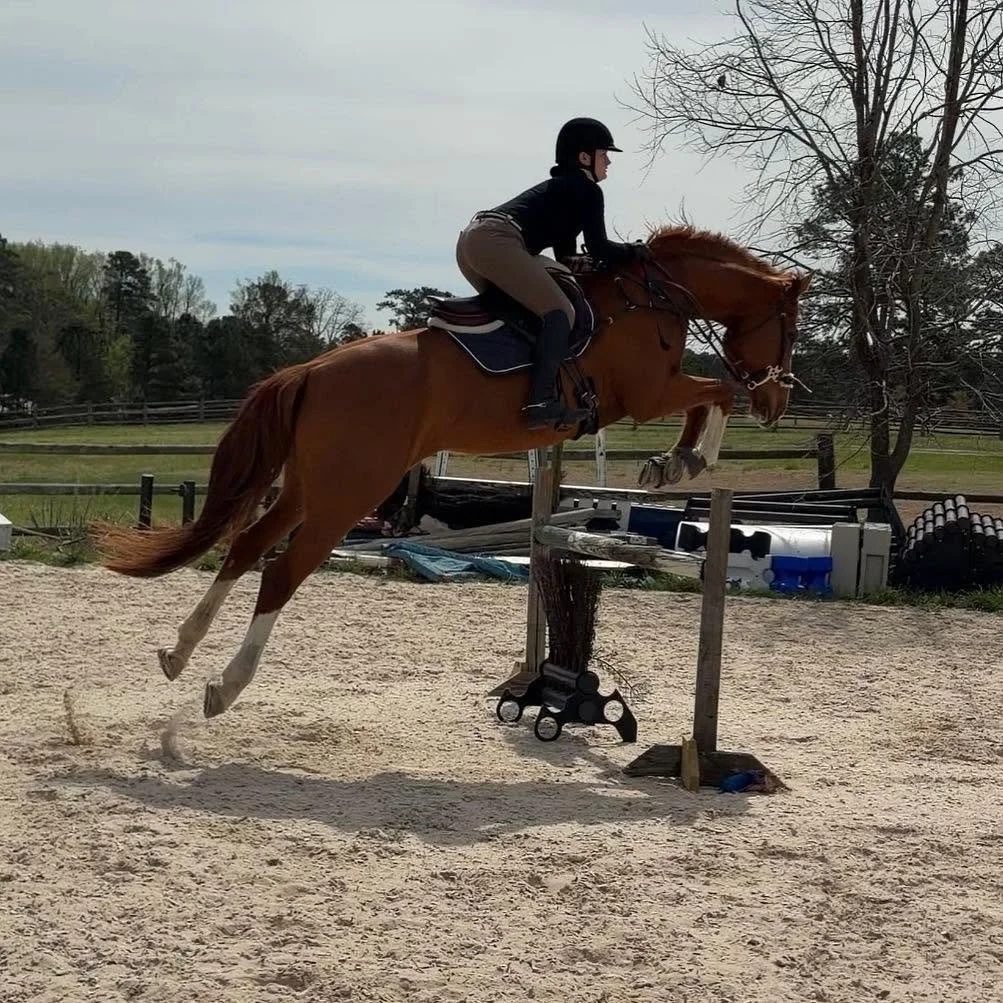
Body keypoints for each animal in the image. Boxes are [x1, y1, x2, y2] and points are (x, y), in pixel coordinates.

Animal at [94, 224, 810, 719]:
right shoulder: (648, 392)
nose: (778, 403)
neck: (656, 295)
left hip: (307, 487)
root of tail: (310, 370)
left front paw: (671, 461)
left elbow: (712, 393)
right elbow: (718, 391)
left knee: (244, 548)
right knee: (281, 570)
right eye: (789, 329)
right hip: (348, 492)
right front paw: (682, 460)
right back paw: (225, 685)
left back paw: (178, 653)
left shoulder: (654, 392)